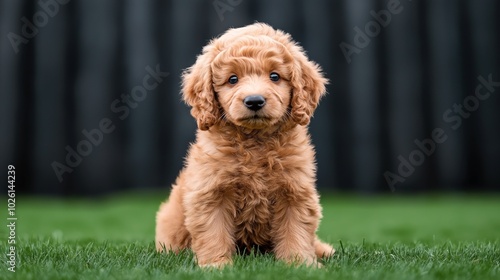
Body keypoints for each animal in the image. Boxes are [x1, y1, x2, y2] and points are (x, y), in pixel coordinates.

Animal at [155, 21, 336, 266]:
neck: (255, 142)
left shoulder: (295, 190)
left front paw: (299, 264)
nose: (254, 101)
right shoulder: (211, 193)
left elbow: (296, 230)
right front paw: (217, 265)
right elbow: (213, 232)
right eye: (232, 79)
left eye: (275, 76)